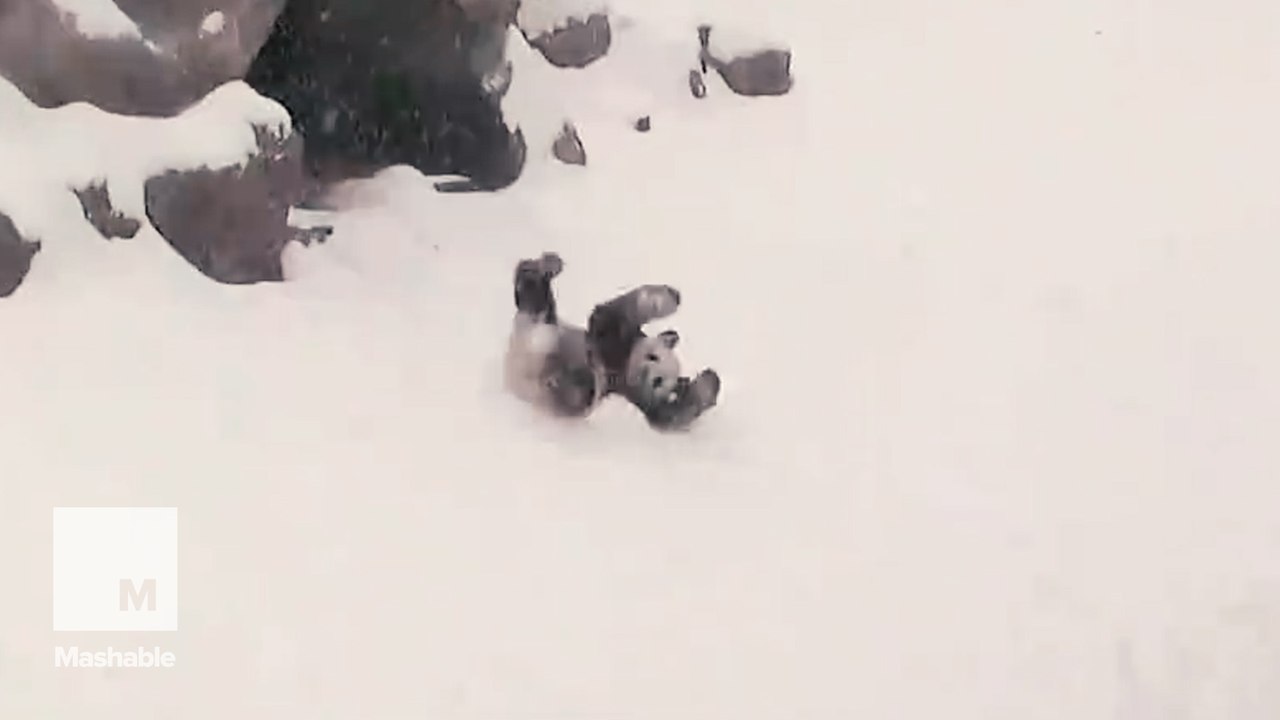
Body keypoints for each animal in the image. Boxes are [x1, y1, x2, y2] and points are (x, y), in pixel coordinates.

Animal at [504, 252, 721, 431]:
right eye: (653, 356)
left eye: (658, 381)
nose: (646, 371)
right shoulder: (608, 339)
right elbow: (611, 314)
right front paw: (669, 297)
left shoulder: (635, 395)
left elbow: (671, 416)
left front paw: (707, 383)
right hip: (547, 324)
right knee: (532, 292)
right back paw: (547, 266)